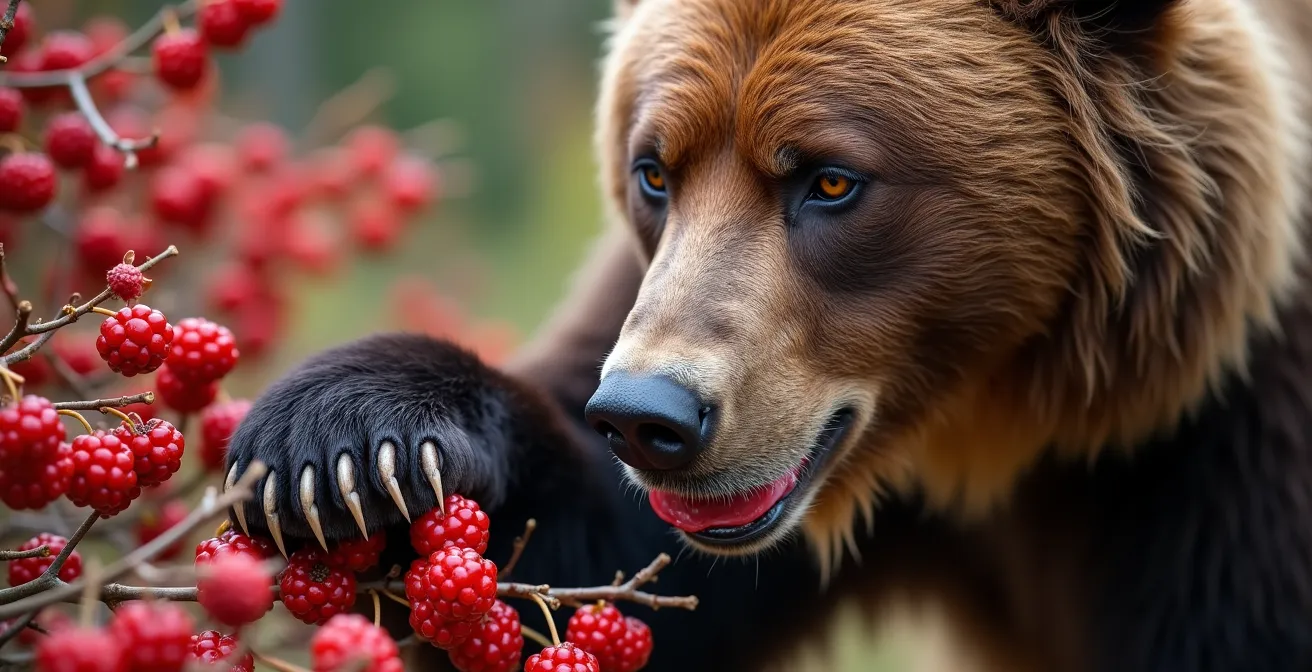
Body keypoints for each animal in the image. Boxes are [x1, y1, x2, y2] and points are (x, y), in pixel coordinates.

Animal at [224, 0, 1312, 670]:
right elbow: (604, 564)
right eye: (654, 170)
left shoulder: (1224, 454)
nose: (648, 417)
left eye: (830, 178)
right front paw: (339, 447)